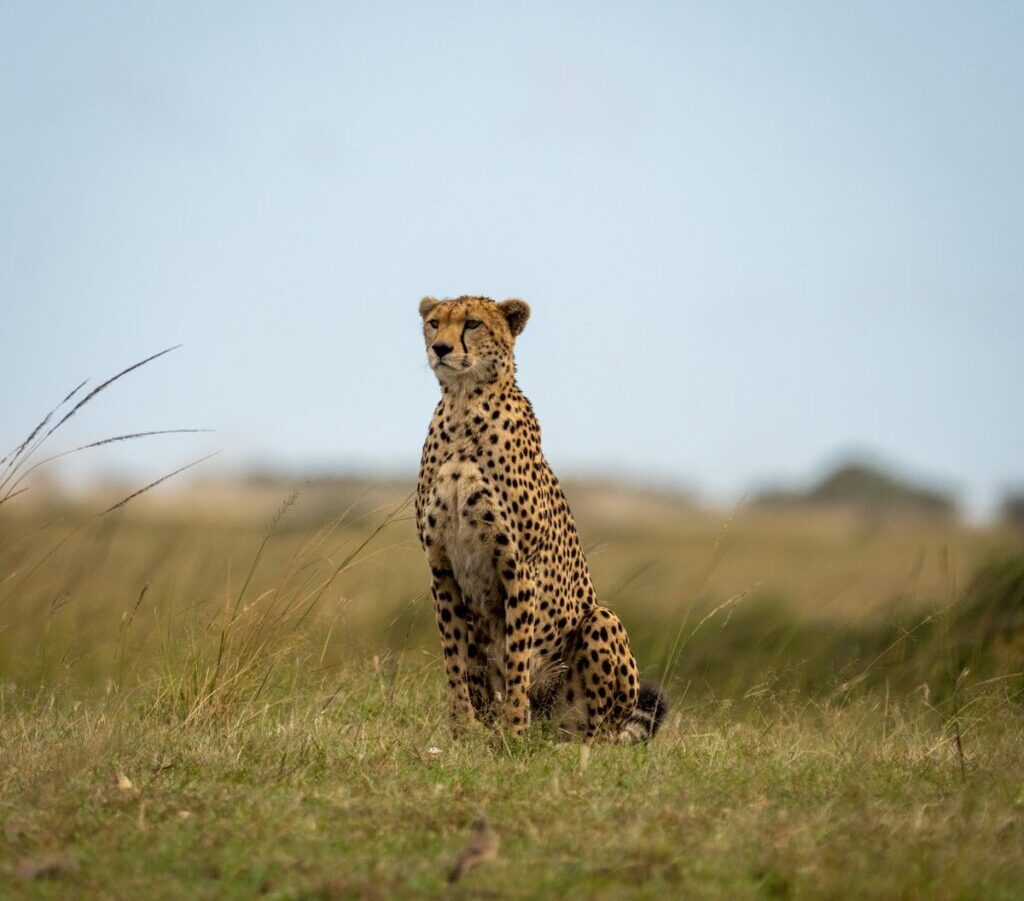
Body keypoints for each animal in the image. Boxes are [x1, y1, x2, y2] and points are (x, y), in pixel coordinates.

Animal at [415, 295, 667, 742]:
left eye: (473, 324)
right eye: (433, 323)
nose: (440, 348)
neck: (463, 406)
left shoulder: (518, 565)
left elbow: (517, 658)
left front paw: (515, 732)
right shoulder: (440, 565)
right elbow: (453, 658)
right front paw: (461, 730)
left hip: (600, 621)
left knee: (600, 733)